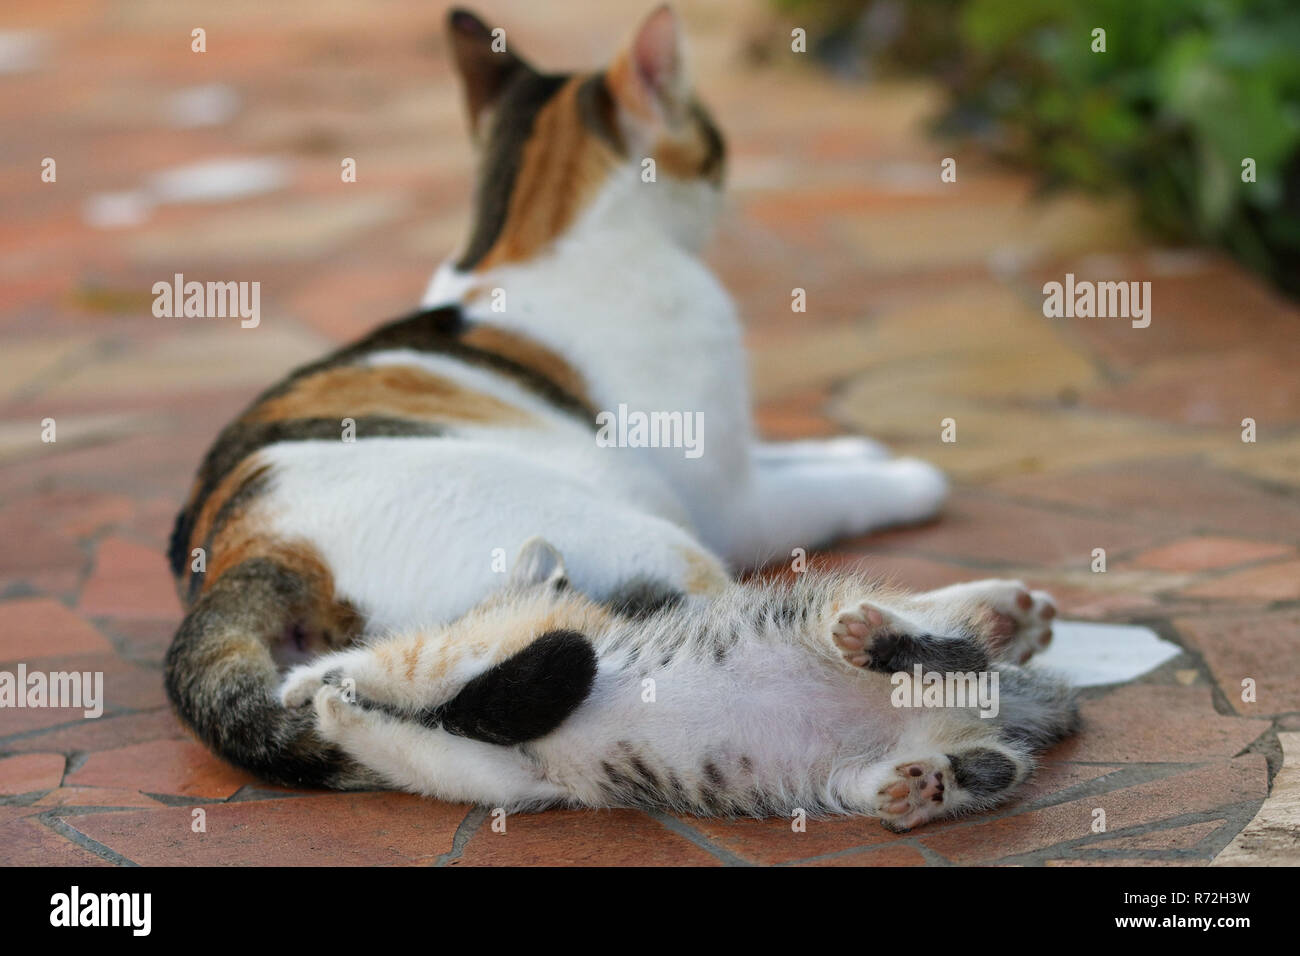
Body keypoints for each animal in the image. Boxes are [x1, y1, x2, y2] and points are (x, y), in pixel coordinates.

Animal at [282, 538, 1076, 832]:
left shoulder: (478, 645)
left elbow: (400, 660)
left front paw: (311, 684)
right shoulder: (513, 775)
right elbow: (432, 756)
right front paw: (337, 710)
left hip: (814, 619)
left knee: (960, 650)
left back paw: (884, 641)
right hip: (854, 773)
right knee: (993, 764)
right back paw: (924, 786)